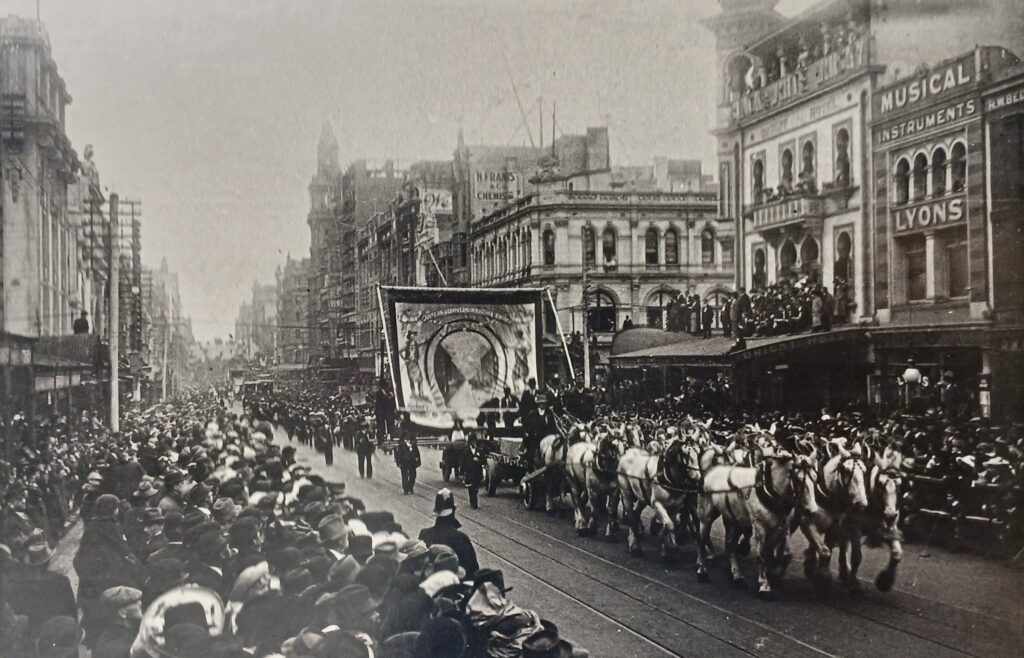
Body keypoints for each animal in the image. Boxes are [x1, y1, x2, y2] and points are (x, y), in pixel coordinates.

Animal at [696, 453, 819, 599]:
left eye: (815, 478)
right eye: (798, 480)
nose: (812, 510)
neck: (770, 492)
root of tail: (711, 469)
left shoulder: (783, 528)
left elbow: (786, 554)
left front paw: (775, 574)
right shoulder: (760, 528)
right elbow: (762, 556)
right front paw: (764, 585)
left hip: (733, 519)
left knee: (731, 545)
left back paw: (737, 575)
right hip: (706, 514)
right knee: (702, 539)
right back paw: (702, 570)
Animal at [798, 446, 869, 586]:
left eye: (864, 470)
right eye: (846, 470)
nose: (861, 503)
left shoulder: (836, 526)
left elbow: (829, 549)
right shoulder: (807, 523)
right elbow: (824, 551)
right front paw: (822, 575)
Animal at [838, 445, 904, 593]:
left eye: (899, 486)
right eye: (880, 485)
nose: (890, 514)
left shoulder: (890, 527)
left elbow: (897, 554)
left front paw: (885, 581)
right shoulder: (854, 525)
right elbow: (856, 558)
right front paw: (853, 585)